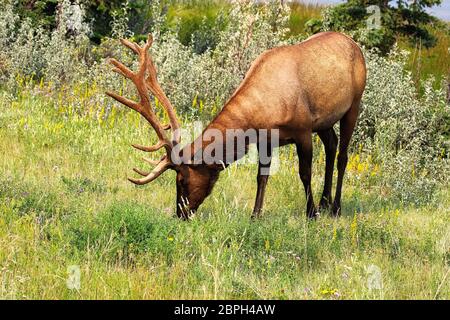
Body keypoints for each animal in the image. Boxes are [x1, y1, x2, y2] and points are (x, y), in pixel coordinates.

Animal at [107, 31, 368, 219]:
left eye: (181, 180)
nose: (179, 214)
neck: (260, 117)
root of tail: (355, 44)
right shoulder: (267, 140)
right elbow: (261, 177)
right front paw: (255, 215)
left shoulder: (303, 129)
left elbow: (304, 173)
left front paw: (310, 213)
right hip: (324, 121)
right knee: (332, 145)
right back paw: (325, 202)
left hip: (353, 105)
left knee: (343, 155)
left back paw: (334, 207)